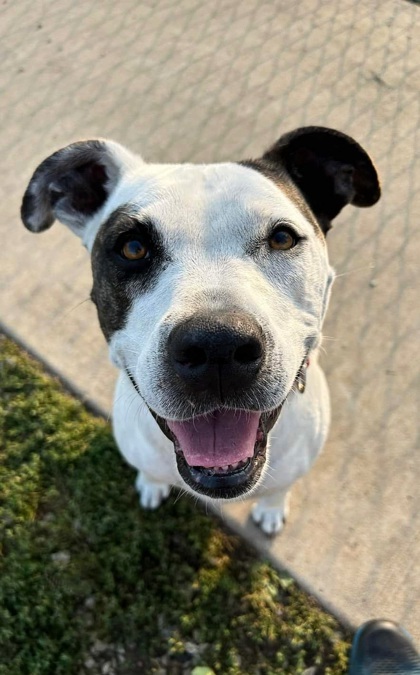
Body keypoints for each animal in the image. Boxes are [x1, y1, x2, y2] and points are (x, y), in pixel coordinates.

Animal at [19, 127, 380, 536]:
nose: (216, 345)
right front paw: (151, 485)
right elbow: (150, 472)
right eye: (132, 247)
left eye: (282, 238)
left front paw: (271, 509)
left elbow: (278, 490)